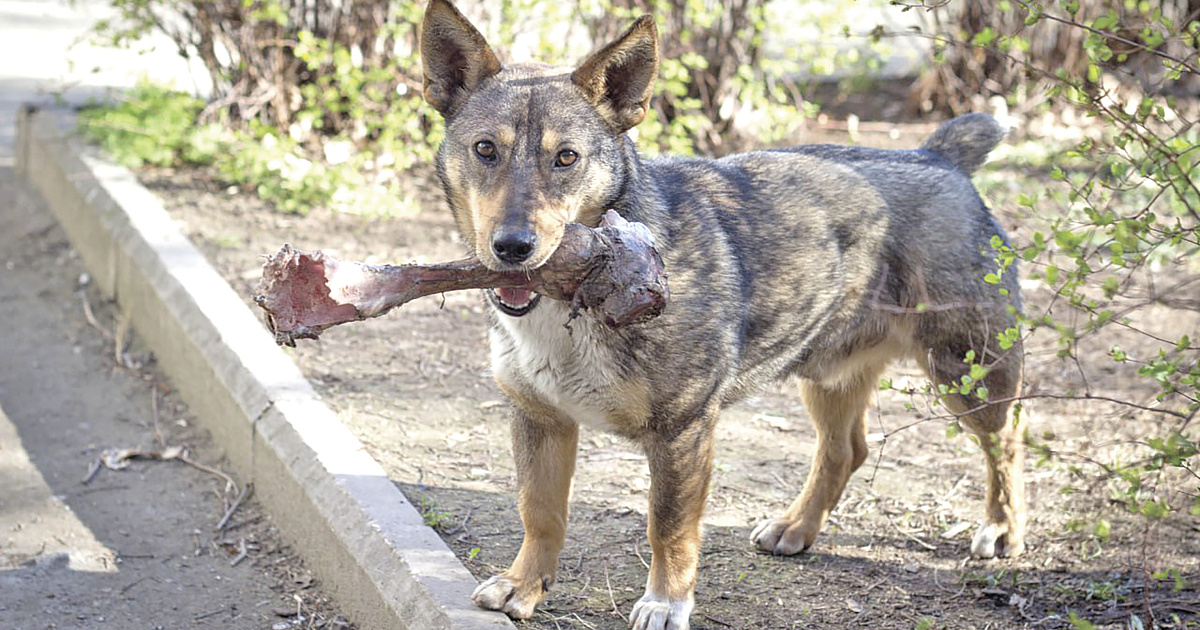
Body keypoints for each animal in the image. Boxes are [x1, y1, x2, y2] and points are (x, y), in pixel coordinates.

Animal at [417, 2, 1027, 624]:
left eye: (566, 157)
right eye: (485, 149)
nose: (512, 246)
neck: (581, 293)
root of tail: (938, 156)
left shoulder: (683, 431)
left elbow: (668, 526)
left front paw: (666, 602)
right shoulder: (540, 418)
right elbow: (538, 511)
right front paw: (525, 585)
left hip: (968, 375)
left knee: (1007, 439)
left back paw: (1003, 528)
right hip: (827, 376)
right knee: (845, 451)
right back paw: (797, 526)